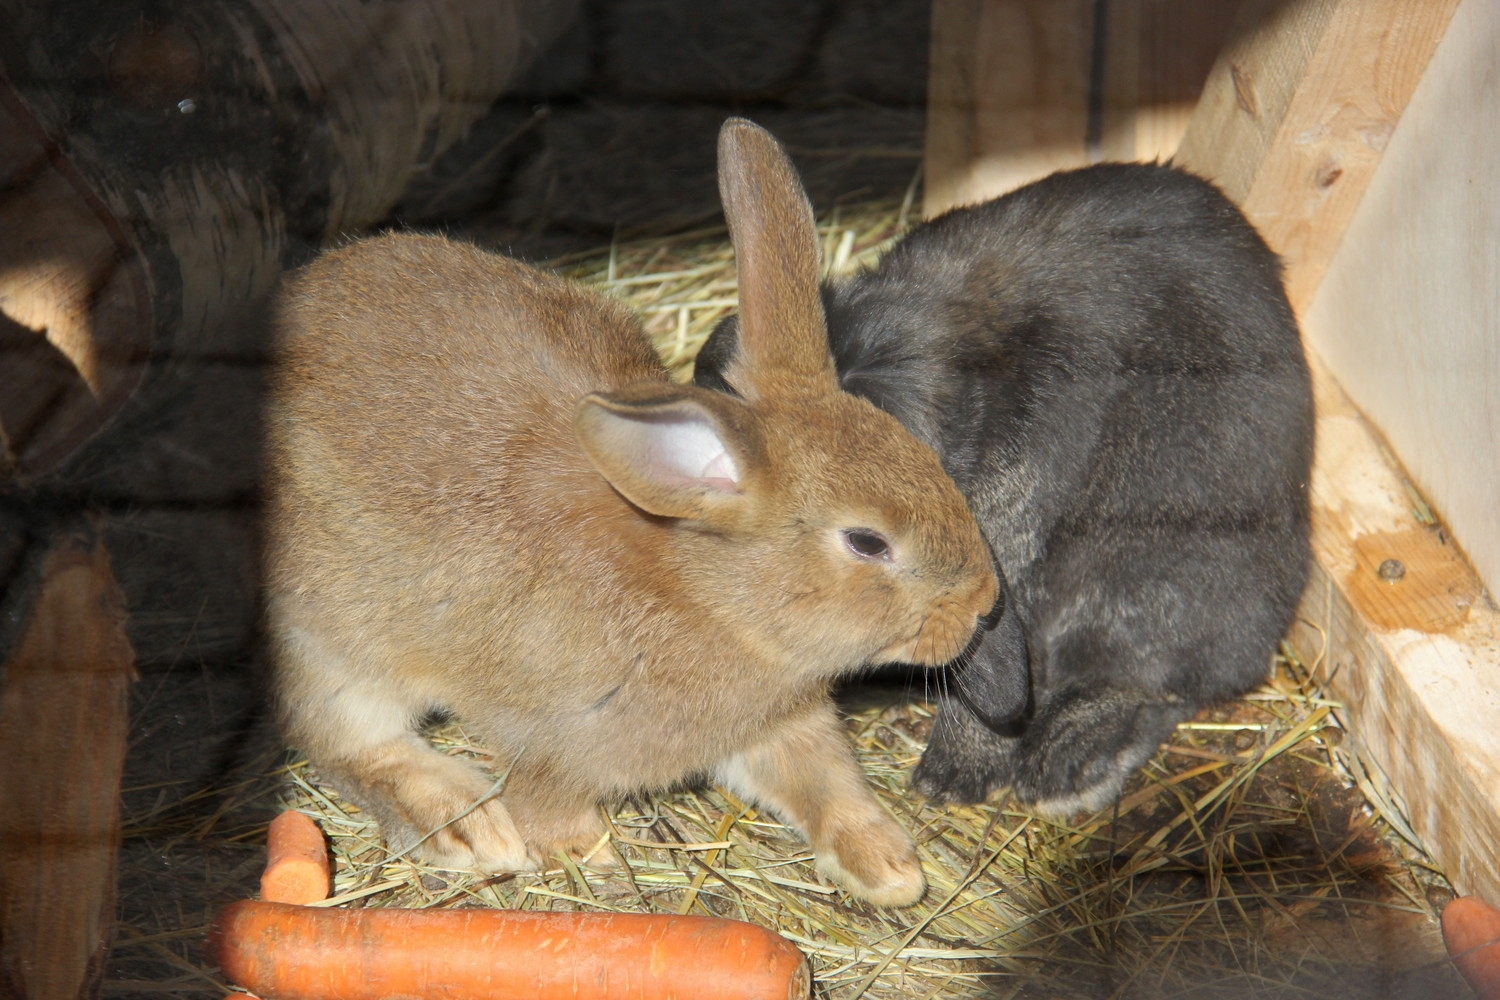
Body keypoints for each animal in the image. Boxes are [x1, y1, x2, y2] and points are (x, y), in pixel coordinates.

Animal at [264, 119, 1002, 905]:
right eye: (867, 542)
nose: (985, 605)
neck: (711, 598)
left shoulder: (779, 725)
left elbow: (824, 781)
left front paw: (889, 868)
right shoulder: (559, 740)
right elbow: (547, 801)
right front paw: (589, 858)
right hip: (333, 650)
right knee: (346, 740)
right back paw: (469, 823)